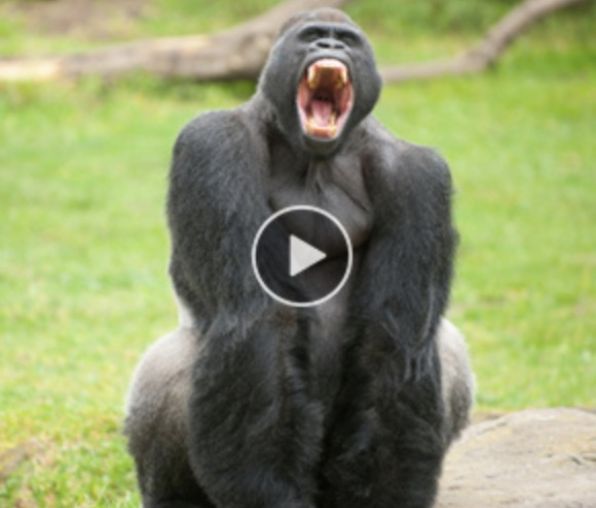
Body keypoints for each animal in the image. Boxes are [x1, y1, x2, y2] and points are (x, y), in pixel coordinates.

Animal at [124, 7, 474, 508]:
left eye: (348, 41)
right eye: (311, 38)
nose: (330, 49)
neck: (315, 159)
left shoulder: (420, 175)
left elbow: (392, 340)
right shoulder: (214, 143)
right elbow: (261, 318)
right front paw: (266, 491)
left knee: (444, 348)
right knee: (169, 365)